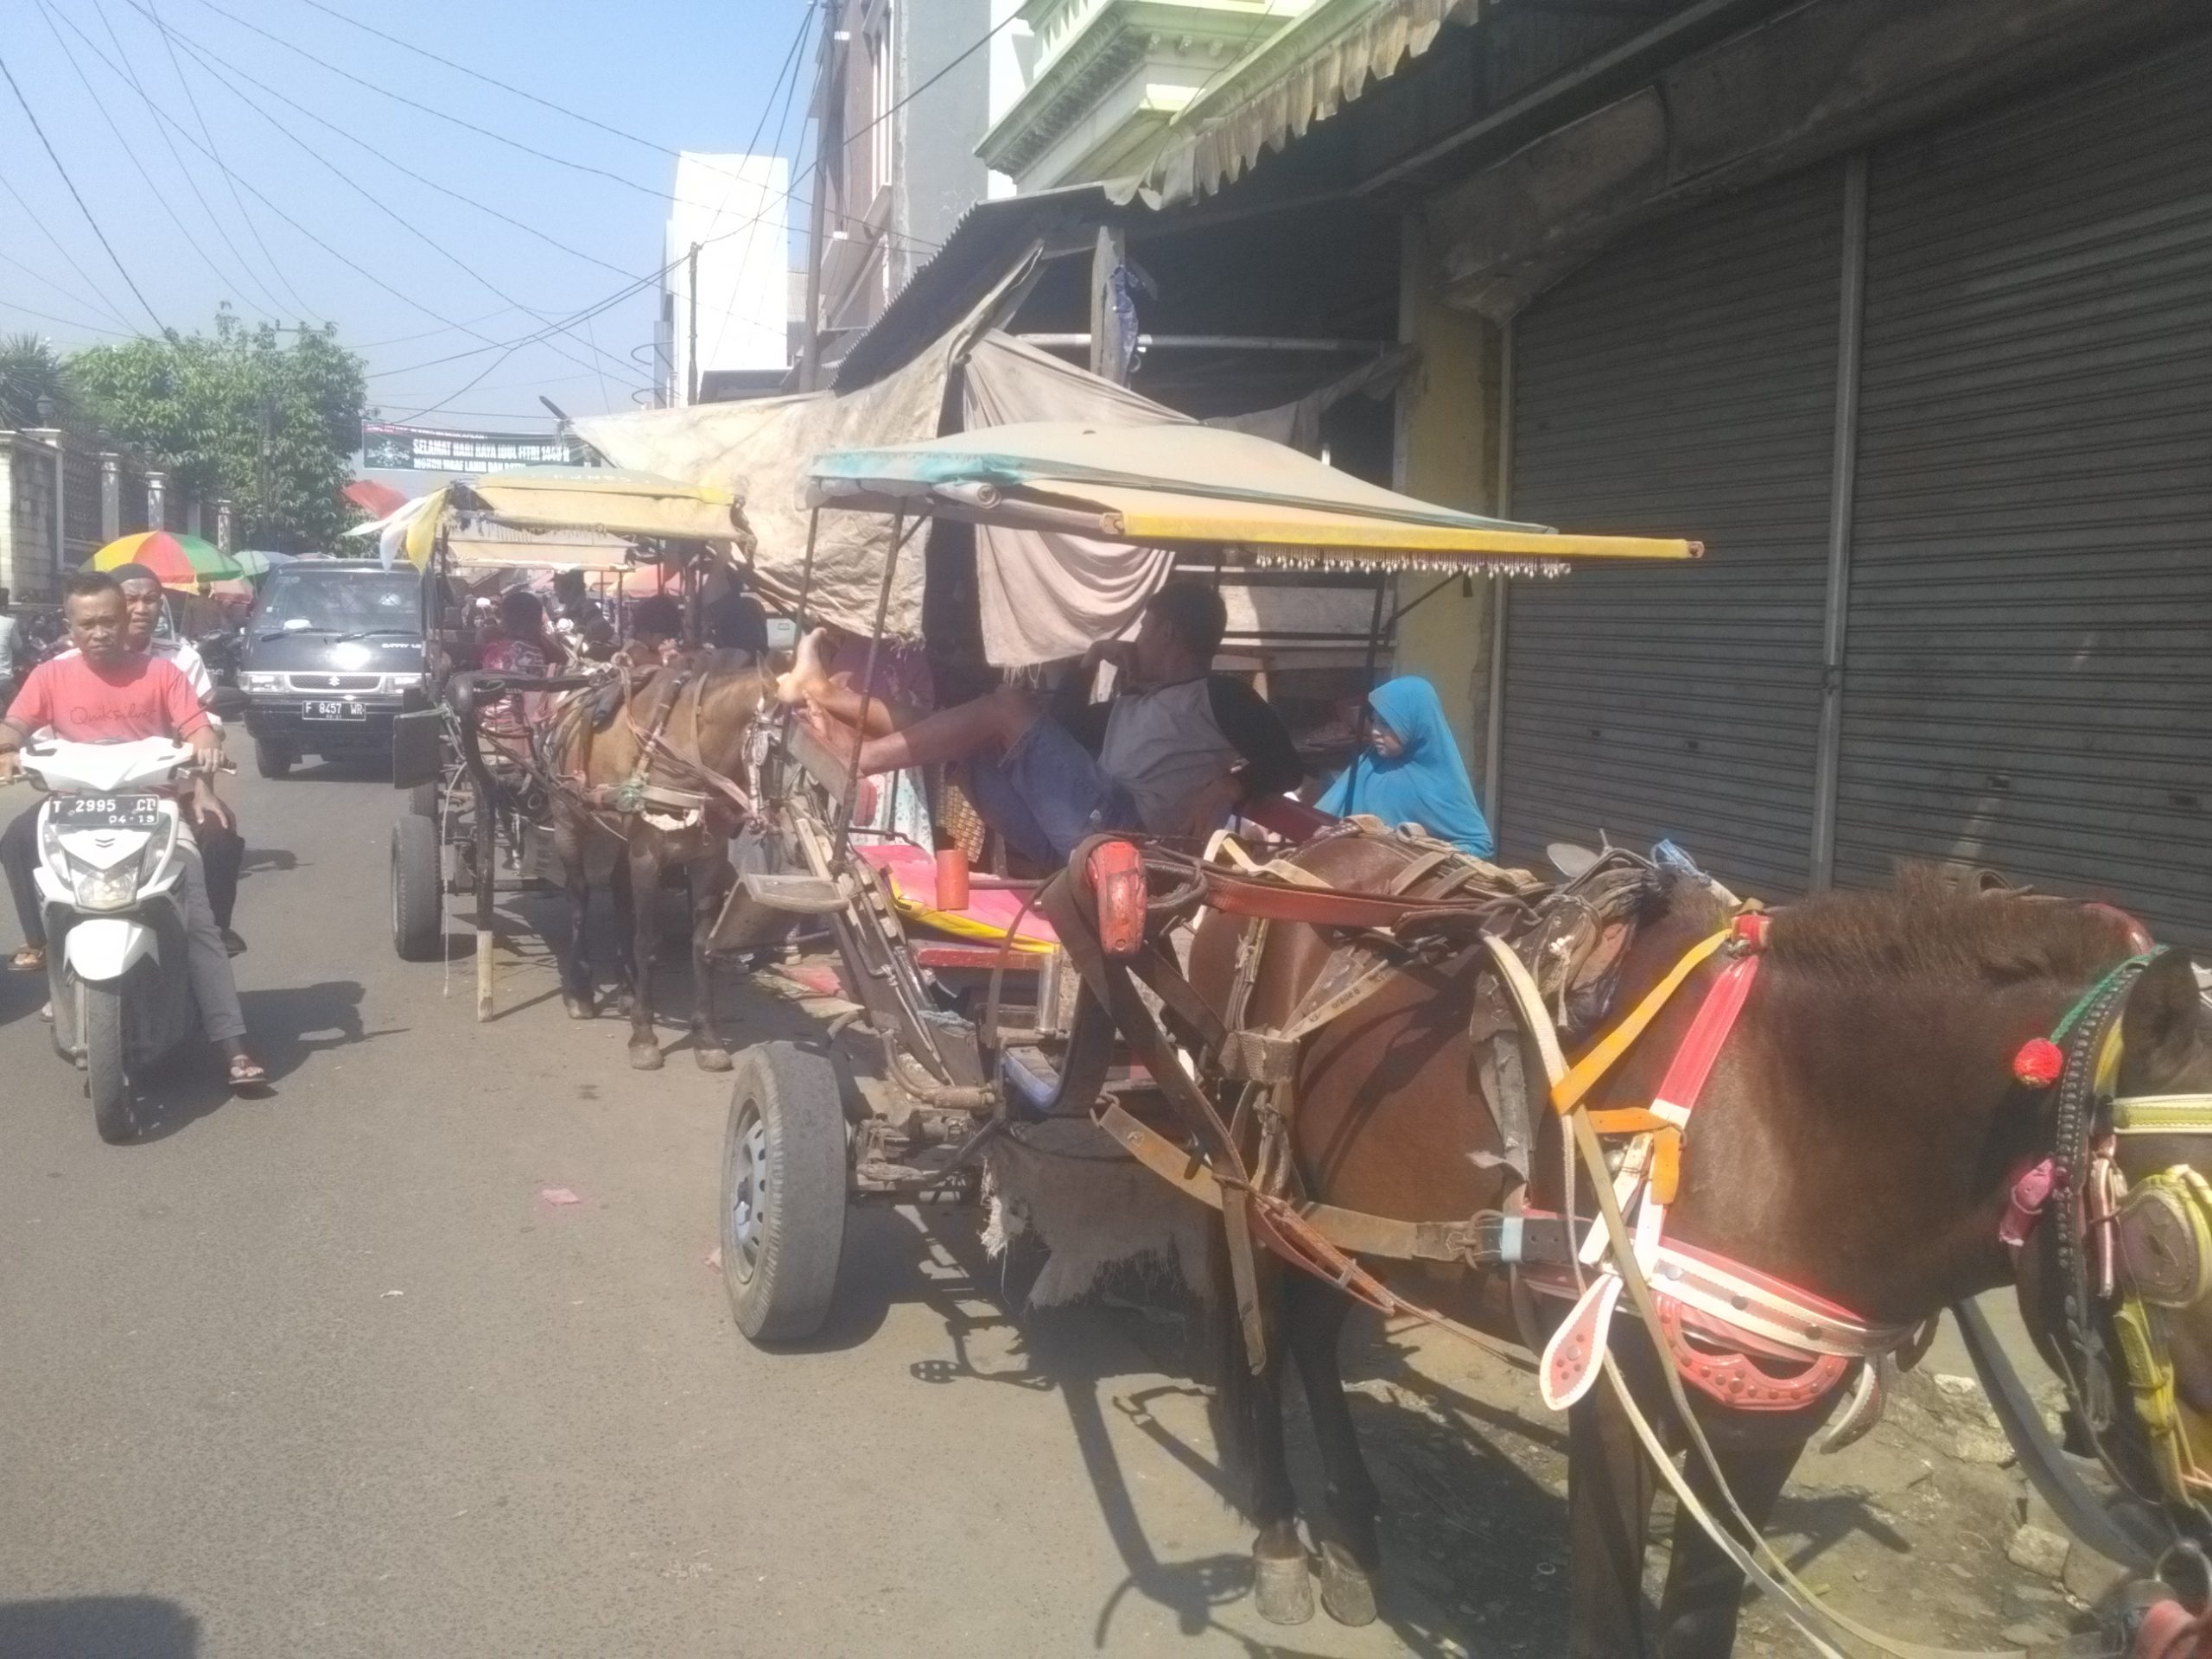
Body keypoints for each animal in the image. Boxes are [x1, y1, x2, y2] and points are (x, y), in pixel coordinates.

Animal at [543, 654, 769, 1071]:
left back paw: (628, 987)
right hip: (567, 816)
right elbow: (646, 940)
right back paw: (580, 990)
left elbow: (702, 944)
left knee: (618, 892)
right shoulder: (647, 857)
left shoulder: (708, 860)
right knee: (579, 894)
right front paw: (644, 1035)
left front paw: (706, 1036)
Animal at [1176, 849, 2212, 1654]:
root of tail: (1275, 866)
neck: (1782, 1127)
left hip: (1334, 1207)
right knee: (1263, 1344)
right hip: (1244, 1180)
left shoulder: (1759, 1432)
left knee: (1313, 1335)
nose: (2194, 1552)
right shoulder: (1610, 1399)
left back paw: (1351, 1539)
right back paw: (1281, 1538)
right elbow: (1604, 1627)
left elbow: (1697, 1623)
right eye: (2165, 1243)